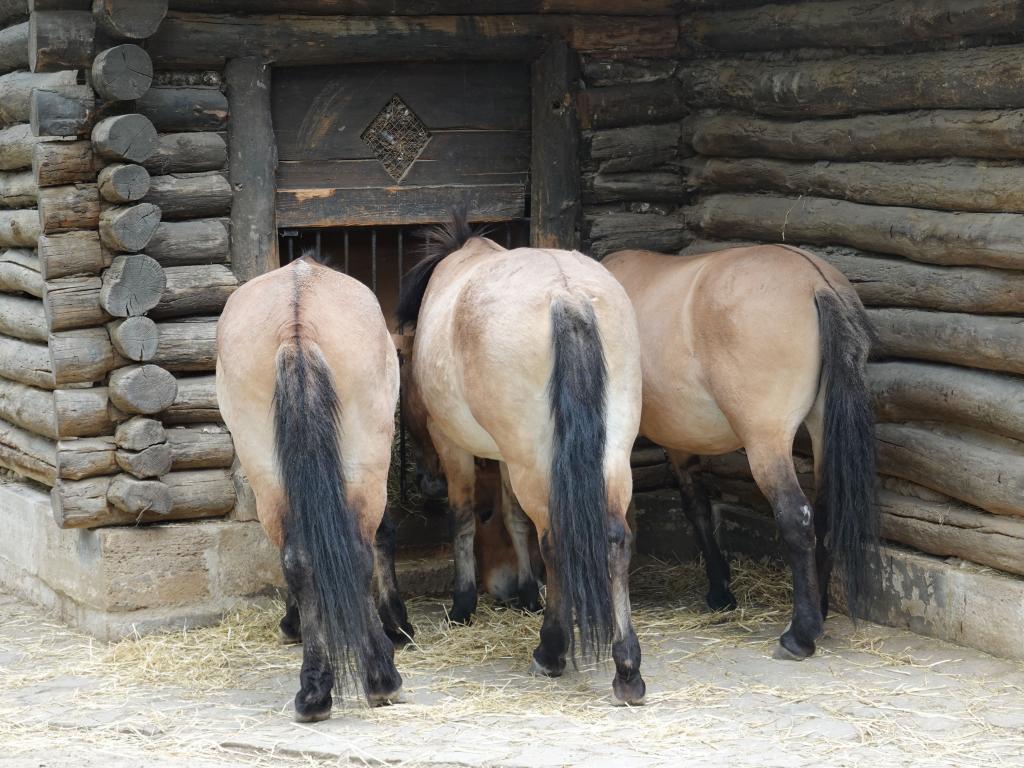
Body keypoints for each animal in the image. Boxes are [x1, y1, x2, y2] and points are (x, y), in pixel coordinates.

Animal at [216, 257, 411, 720]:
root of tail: (296, 328)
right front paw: (397, 623)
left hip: (267, 468)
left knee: (300, 558)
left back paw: (317, 688)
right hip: (364, 459)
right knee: (353, 552)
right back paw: (379, 678)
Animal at [397, 210, 643, 704]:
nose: (425, 483)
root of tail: (568, 297)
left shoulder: (455, 446)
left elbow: (464, 519)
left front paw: (463, 604)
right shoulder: (507, 455)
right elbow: (513, 518)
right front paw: (529, 594)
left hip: (536, 460)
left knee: (555, 538)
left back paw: (551, 651)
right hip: (607, 454)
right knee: (613, 538)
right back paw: (627, 667)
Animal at [598, 246, 880, 663]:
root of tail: (816, 281)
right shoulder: (679, 441)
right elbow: (697, 506)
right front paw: (720, 589)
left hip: (766, 440)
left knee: (797, 517)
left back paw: (801, 634)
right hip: (822, 430)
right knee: (826, 511)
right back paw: (820, 610)